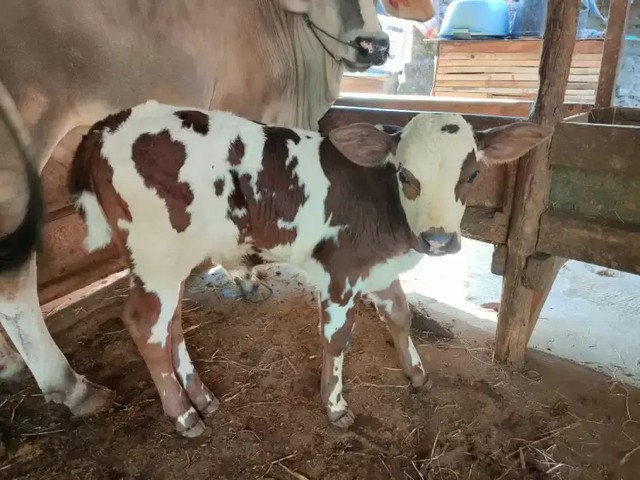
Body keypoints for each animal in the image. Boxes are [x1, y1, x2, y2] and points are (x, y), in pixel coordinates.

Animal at [0, 1, 436, 424]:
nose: (375, 46)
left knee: (168, 320)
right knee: (40, 292)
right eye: (405, 174)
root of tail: (101, 132)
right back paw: (100, 394)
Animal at [69, 101, 552, 436]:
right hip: (156, 257)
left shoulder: (378, 267)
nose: (436, 239)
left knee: (171, 325)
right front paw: (335, 406)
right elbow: (337, 340)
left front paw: (417, 374)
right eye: (404, 174)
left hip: (174, 262)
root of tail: (107, 124)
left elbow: (400, 315)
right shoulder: (340, 272)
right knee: (144, 325)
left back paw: (202, 397)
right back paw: (184, 415)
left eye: (472, 175)